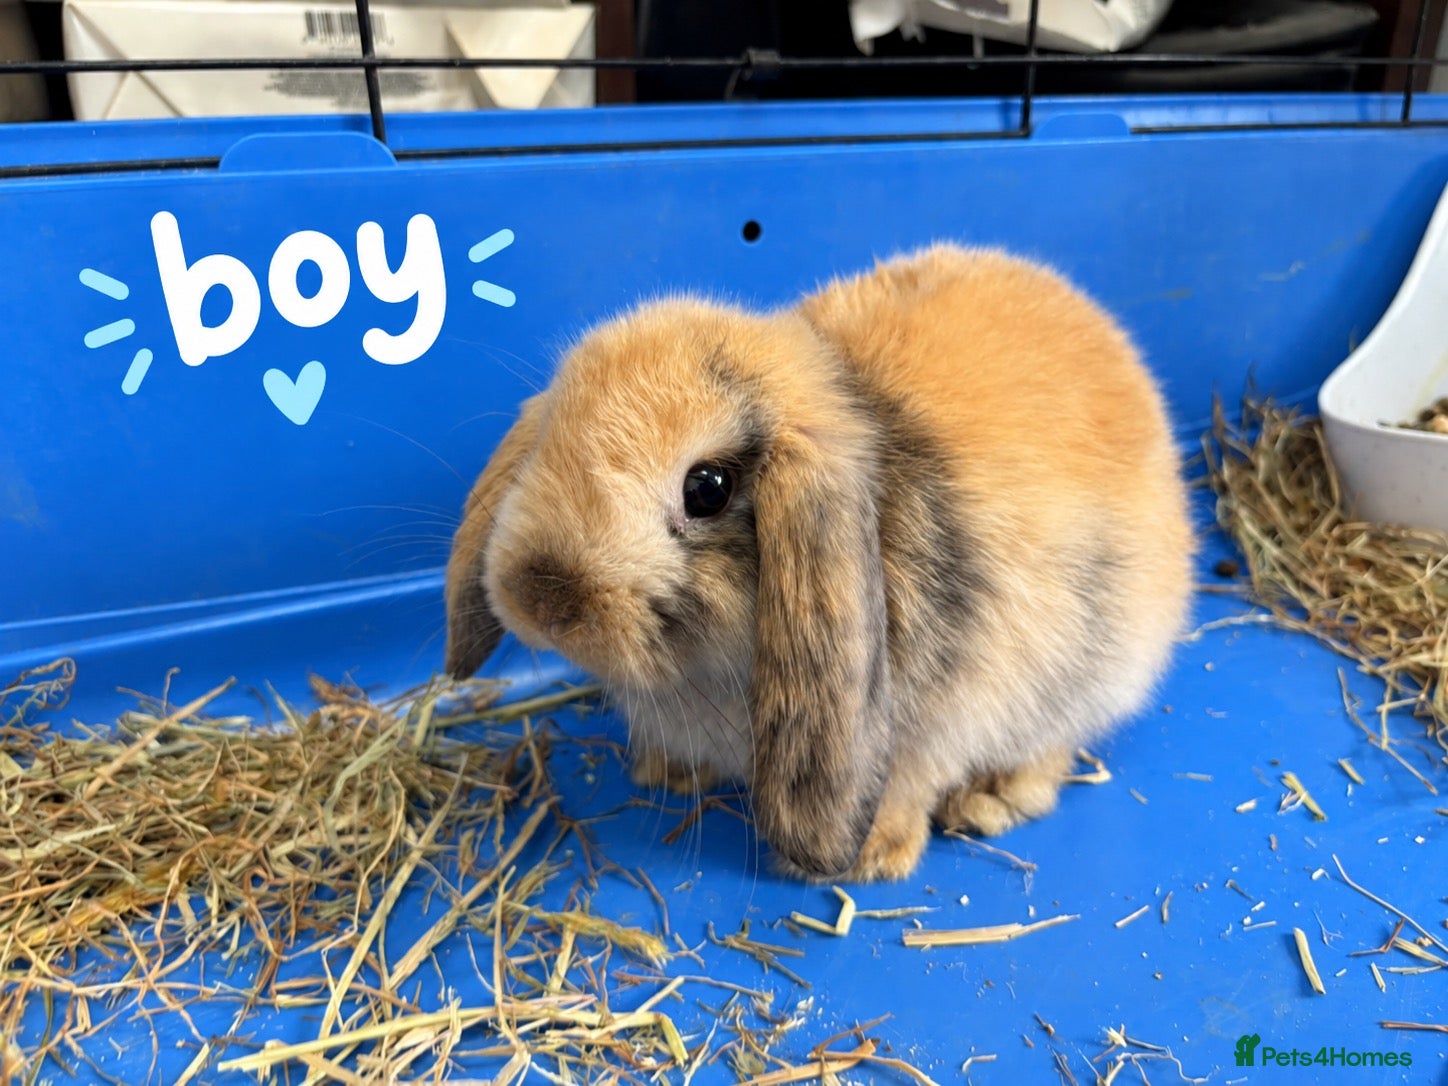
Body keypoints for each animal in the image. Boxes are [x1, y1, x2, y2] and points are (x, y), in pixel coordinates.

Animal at [444, 243, 1194, 882]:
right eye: (551, 440)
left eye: (707, 488)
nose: (543, 598)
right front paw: (666, 773)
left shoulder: (939, 721)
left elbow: (910, 778)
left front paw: (869, 860)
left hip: (1097, 670)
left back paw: (990, 800)